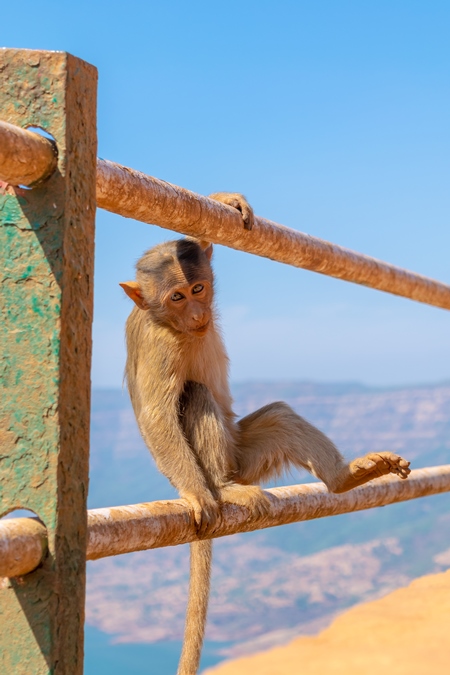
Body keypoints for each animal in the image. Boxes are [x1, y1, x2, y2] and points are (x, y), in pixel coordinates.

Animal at [120, 193, 412, 672]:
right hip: (228, 463)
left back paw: (344, 478)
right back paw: (220, 489)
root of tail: (232, 469)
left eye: (197, 290)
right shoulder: (158, 343)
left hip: (246, 454)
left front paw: (222, 203)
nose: (198, 313)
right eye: (176, 297)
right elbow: (156, 416)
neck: (173, 325)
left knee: (279, 416)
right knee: (195, 396)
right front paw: (196, 495)